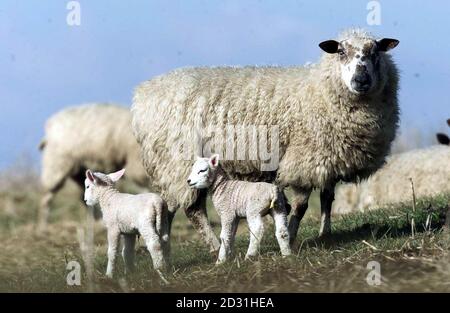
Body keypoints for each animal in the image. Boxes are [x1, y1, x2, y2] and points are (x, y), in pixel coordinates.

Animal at [131, 27, 400, 251]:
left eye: (375, 52)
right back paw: (210, 247)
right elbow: (301, 206)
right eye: (341, 52)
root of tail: (142, 95)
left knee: (175, 207)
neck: (320, 89)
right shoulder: (303, 160)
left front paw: (325, 234)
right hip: (177, 161)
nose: (361, 80)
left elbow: (327, 199)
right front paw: (292, 236)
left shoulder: (327, 158)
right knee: (191, 209)